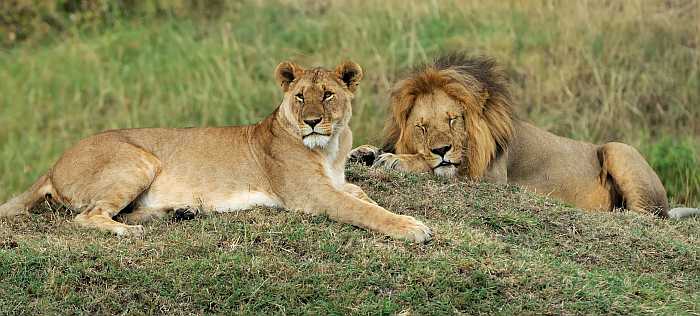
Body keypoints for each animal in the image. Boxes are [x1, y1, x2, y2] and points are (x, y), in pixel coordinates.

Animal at [1, 59, 432, 242]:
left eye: (327, 95)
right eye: (299, 97)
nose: (311, 122)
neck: (330, 147)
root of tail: (53, 164)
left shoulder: (336, 182)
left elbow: (362, 196)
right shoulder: (312, 195)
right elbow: (363, 210)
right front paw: (413, 228)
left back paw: (181, 211)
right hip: (138, 159)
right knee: (88, 216)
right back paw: (129, 231)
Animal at [352, 53, 696, 218]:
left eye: (453, 120)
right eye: (421, 127)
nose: (441, 149)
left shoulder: (489, 179)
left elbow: (437, 168)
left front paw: (397, 160)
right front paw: (364, 152)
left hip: (618, 148)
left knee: (648, 215)